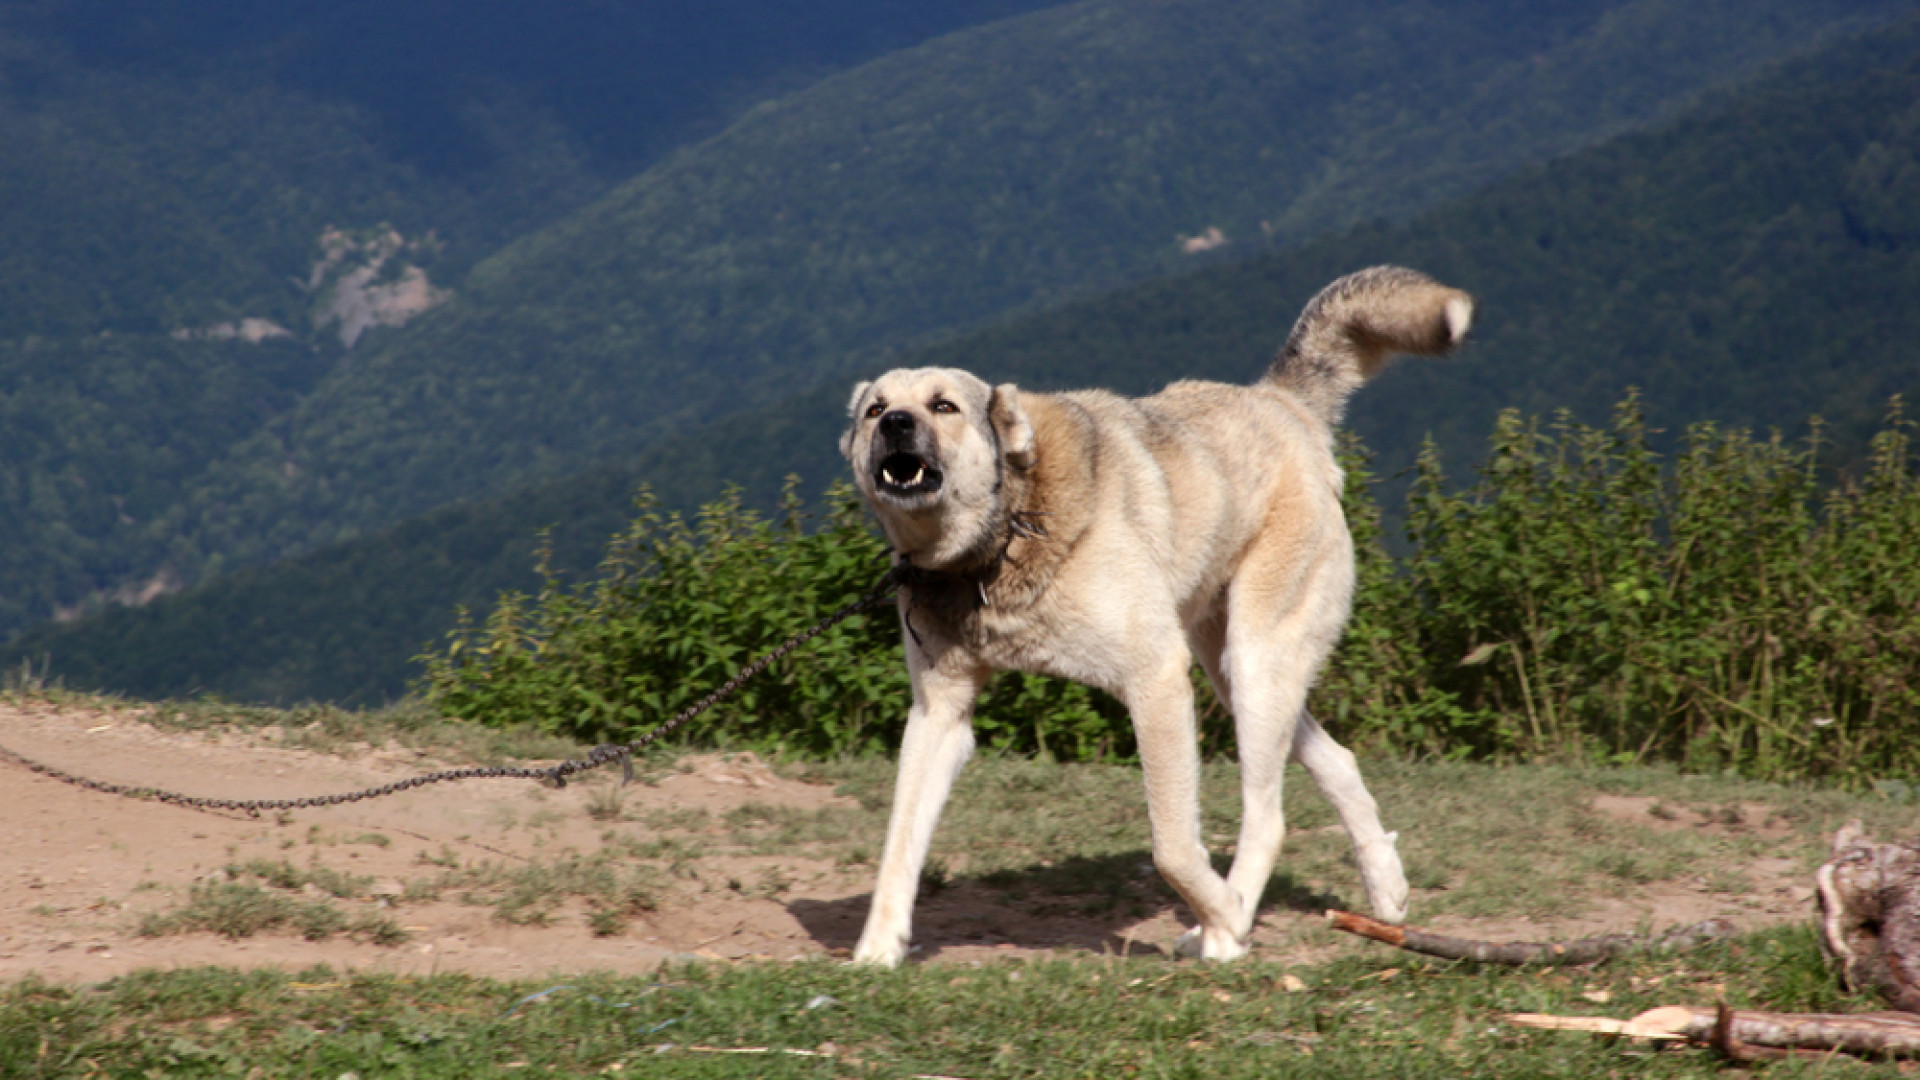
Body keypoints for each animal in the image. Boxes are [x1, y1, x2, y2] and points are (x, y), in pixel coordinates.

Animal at [837, 265, 1466, 960]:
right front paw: (876, 953)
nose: (896, 423)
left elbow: (1171, 845)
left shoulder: (1156, 678)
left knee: (1269, 816)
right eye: (875, 409)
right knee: (1337, 759)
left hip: (1255, 661)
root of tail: (1280, 402)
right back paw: (1386, 888)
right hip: (1232, 672)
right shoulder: (939, 714)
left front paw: (1223, 917)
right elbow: (898, 845)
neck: (1002, 539)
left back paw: (1229, 926)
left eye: (943, 406)